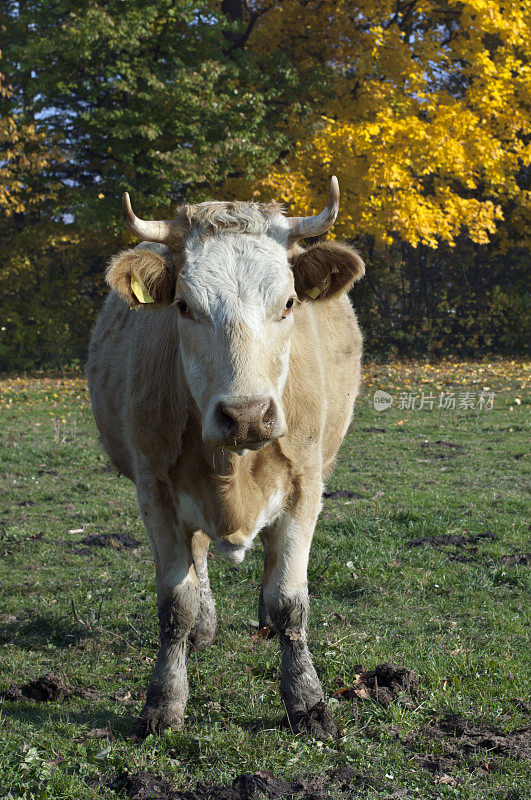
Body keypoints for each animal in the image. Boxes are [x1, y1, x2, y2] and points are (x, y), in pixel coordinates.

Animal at [87, 178, 368, 740]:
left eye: (287, 303)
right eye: (183, 305)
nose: (246, 415)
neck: (233, 466)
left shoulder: (305, 489)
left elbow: (289, 601)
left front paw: (307, 700)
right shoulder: (154, 492)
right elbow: (176, 603)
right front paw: (164, 701)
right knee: (198, 563)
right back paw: (204, 628)